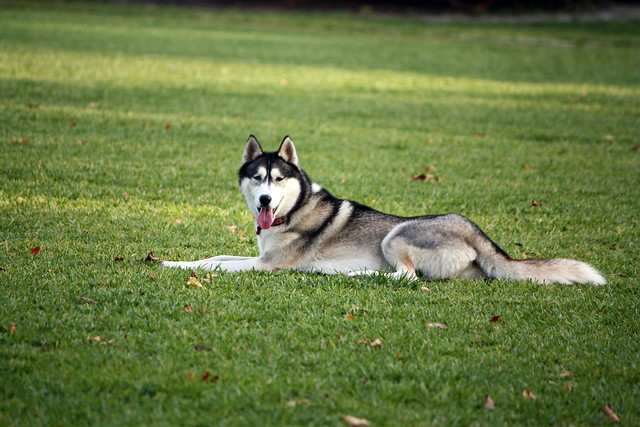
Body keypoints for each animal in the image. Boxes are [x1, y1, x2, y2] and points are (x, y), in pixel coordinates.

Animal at [162, 135, 608, 286]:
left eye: (278, 179)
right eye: (257, 178)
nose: (265, 202)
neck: (295, 209)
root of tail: (477, 232)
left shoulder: (268, 266)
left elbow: (221, 266)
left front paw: (177, 267)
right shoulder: (258, 255)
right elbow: (214, 257)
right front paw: (170, 261)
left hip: (396, 235)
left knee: (406, 277)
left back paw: (355, 274)